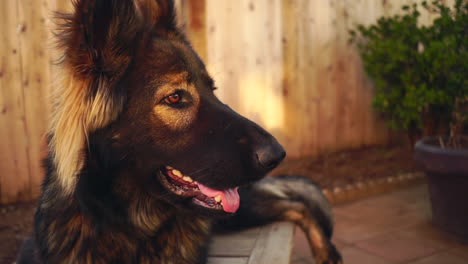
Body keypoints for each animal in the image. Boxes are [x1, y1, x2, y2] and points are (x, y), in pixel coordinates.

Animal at [16, 1, 342, 262]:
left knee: (296, 203)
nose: (277, 154)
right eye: (175, 97)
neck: (135, 230)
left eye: (212, 90)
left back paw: (327, 252)